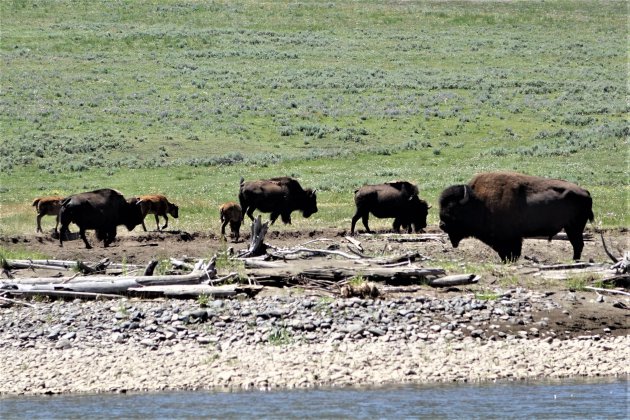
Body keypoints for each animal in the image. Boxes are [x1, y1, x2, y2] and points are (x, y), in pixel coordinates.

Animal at [440, 171, 596, 262]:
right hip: (572, 228)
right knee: (578, 244)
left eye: (452, 209)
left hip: (574, 227)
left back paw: (574, 261)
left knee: (578, 244)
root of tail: (585, 191)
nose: (442, 225)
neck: (478, 202)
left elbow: (511, 253)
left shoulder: (510, 239)